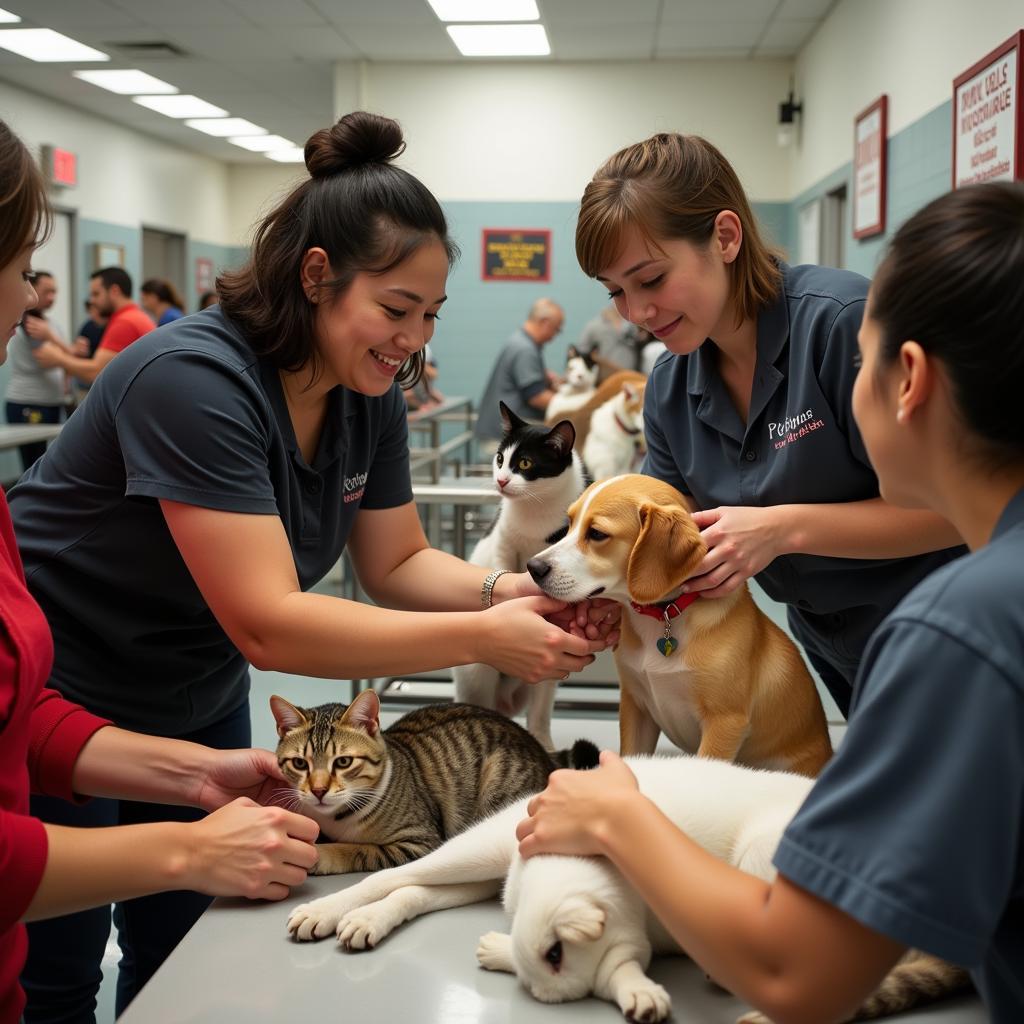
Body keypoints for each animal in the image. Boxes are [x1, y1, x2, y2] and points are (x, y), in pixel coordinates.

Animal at [272, 684, 598, 876]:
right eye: (300, 763)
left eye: (343, 762)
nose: (318, 791)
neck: (337, 819)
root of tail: (543, 754)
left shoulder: (418, 841)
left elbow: (359, 850)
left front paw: (321, 854)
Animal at [454, 401, 589, 753]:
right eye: (500, 459)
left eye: (525, 463)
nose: (501, 481)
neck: (534, 509)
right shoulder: (504, 542)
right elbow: (503, 567)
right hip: (477, 673)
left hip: (546, 677)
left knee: (540, 707)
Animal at [528, 471, 831, 774]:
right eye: (569, 524)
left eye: (597, 533)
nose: (533, 568)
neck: (663, 615)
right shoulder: (635, 707)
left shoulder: (725, 723)